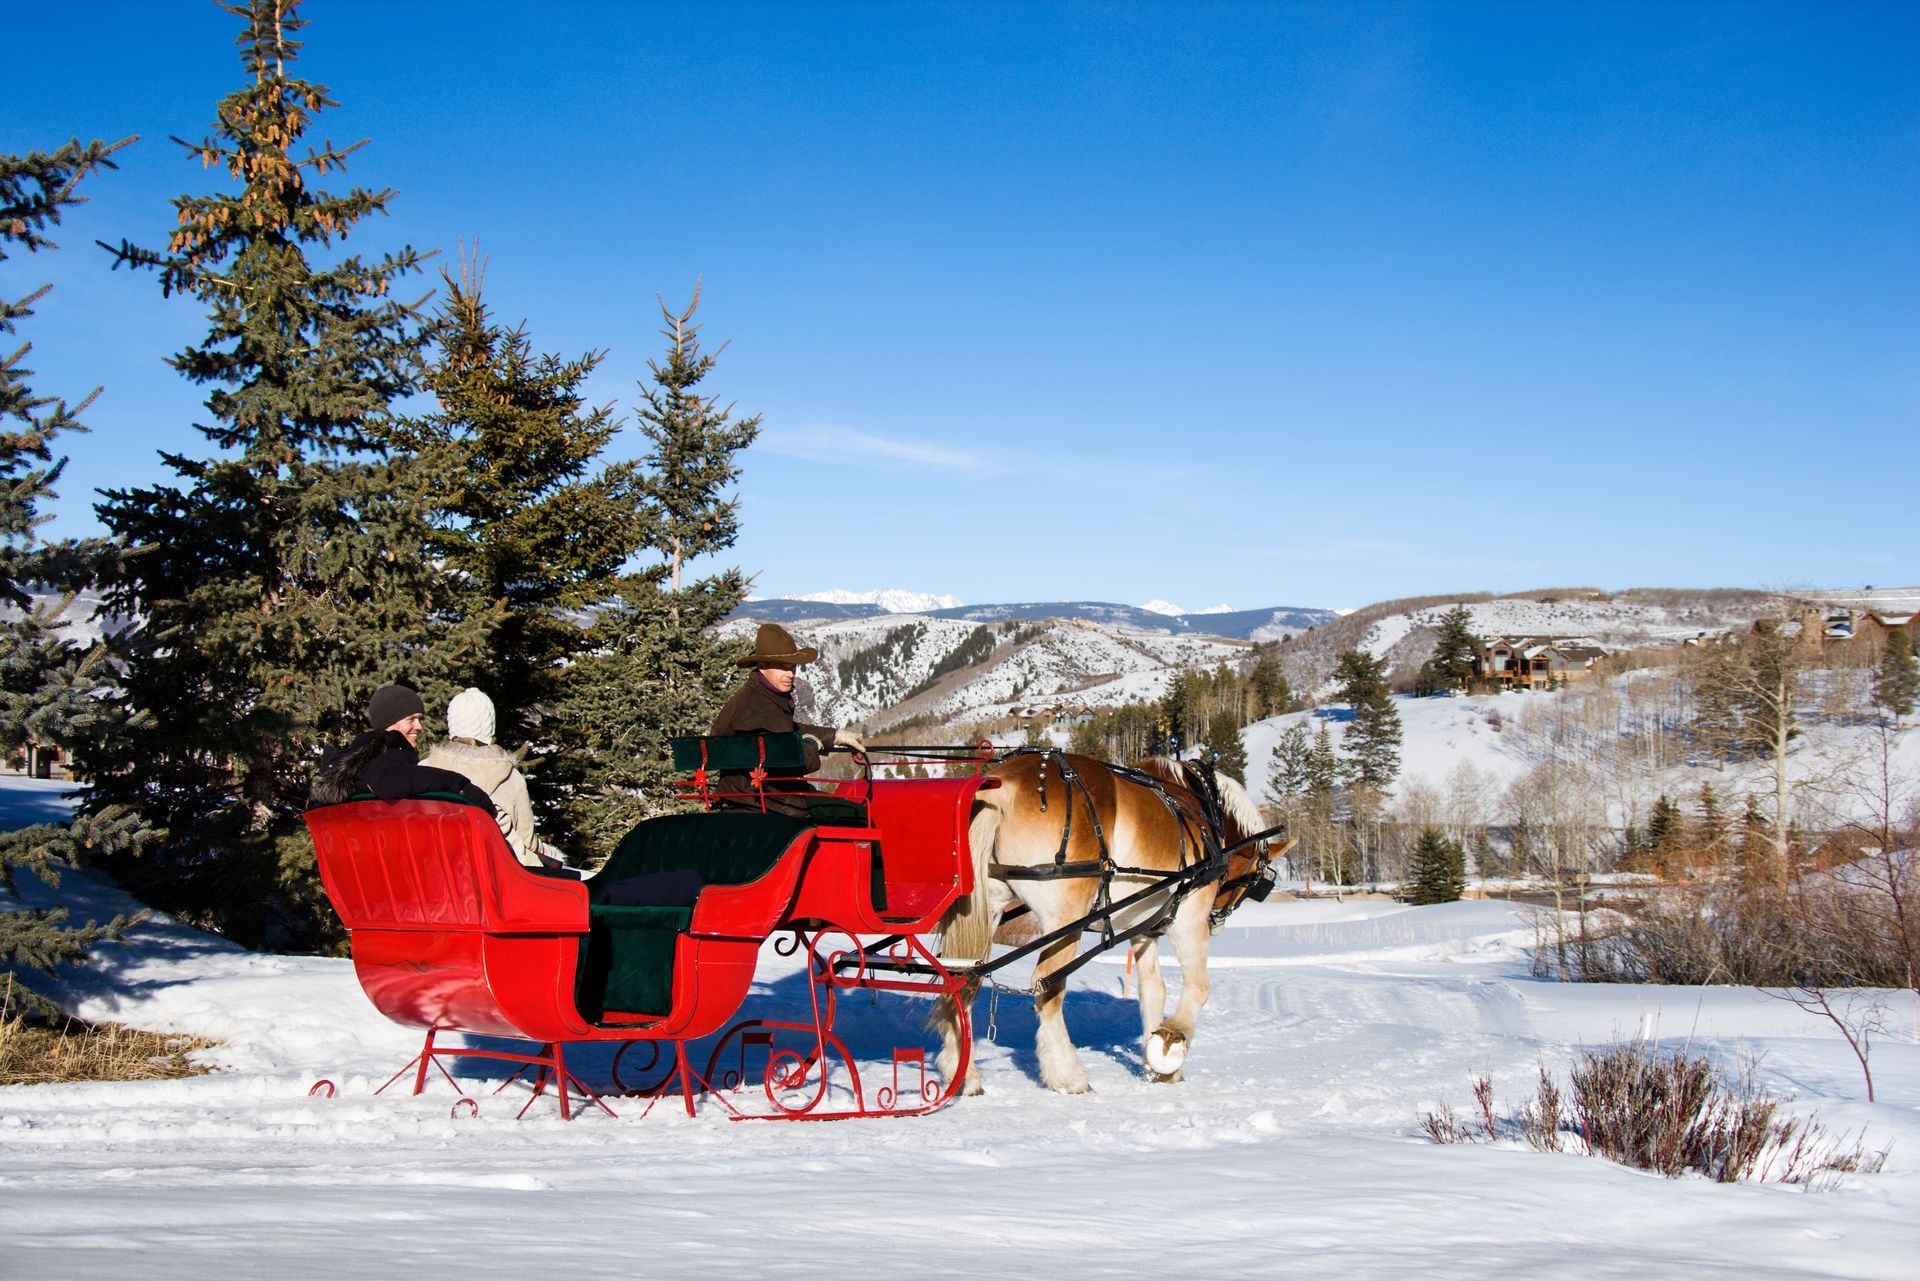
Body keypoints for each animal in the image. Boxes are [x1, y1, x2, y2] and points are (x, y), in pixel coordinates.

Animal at [931, 751, 1279, 1095]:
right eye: (1253, 878)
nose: (1218, 921)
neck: (1200, 807)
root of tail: (1004, 787)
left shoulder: (1144, 929)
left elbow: (1154, 990)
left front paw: (1157, 1066)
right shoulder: (1190, 916)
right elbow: (1199, 987)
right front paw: (1170, 1043)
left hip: (987, 909)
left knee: (965, 978)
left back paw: (963, 1073)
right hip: (1066, 918)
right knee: (1046, 986)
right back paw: (1067, 1074)